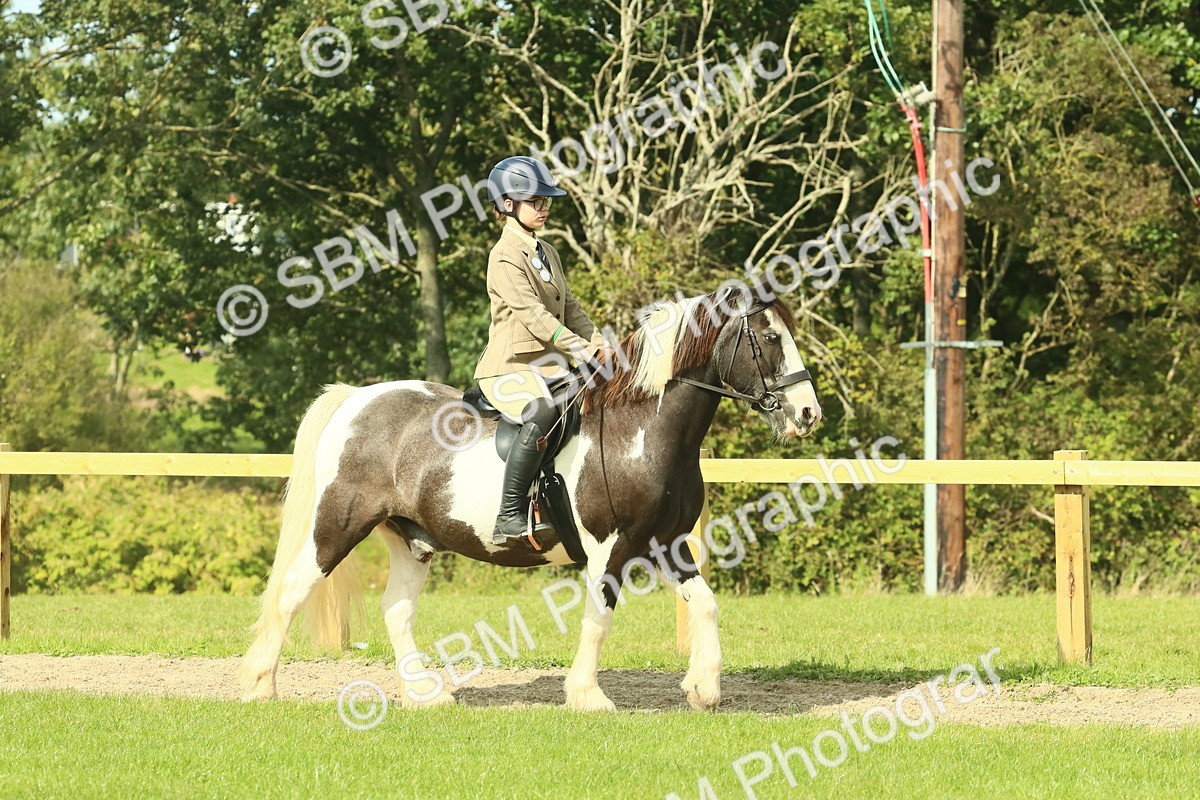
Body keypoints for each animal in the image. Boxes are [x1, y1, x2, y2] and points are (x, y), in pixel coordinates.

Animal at [240, 285, 822, 711]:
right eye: (770, 336)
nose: (808, 414)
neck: (642, 429)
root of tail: (356, 398)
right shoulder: (610, 546)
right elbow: (599, 616)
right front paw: (588, 697)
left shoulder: (668, 543)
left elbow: (705, 604)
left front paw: (704, 691)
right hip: (337, 526)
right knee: (291, 592)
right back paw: (259, 685)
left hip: (412, 540)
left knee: (397, 611)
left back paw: (426, 696)